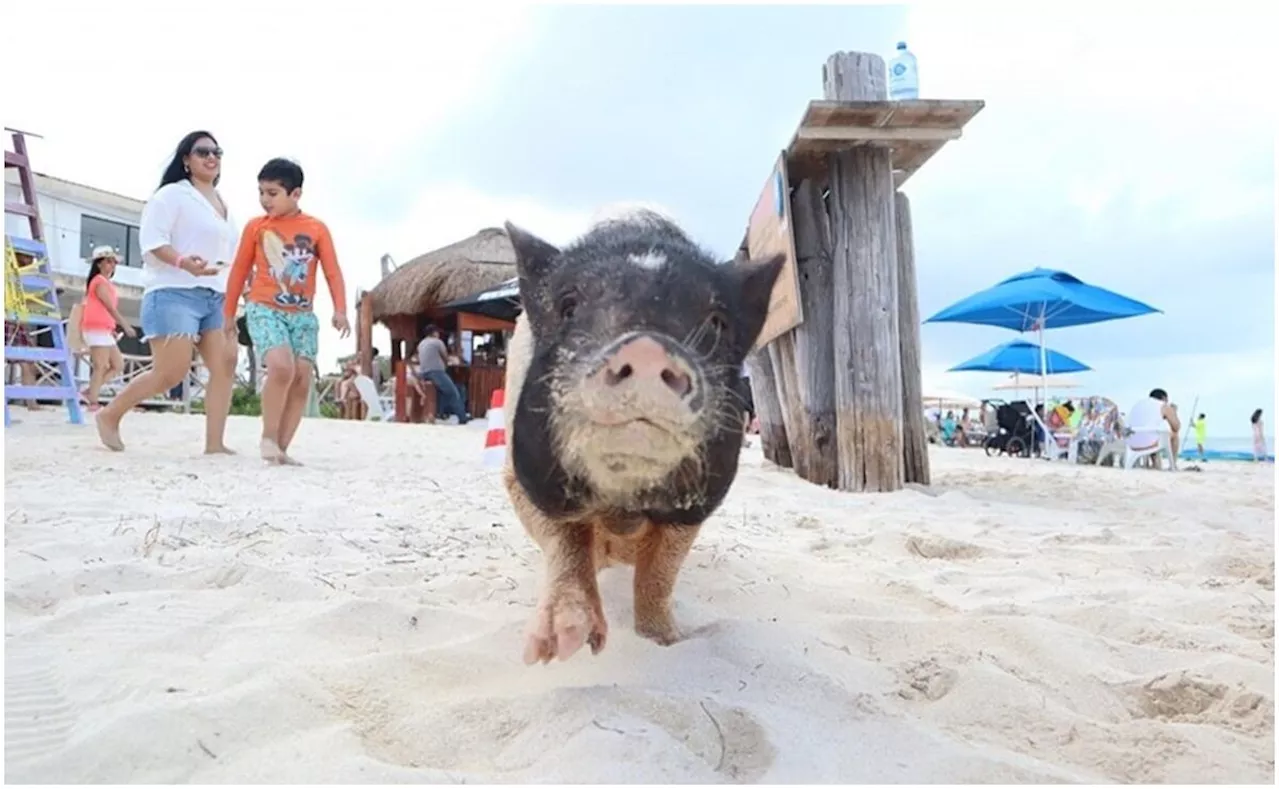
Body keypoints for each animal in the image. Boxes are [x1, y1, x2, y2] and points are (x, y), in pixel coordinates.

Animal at [496, 210, 778, 666]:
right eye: (568, 306)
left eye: (717, 323)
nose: (647, 348)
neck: (622, 505)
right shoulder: (519, 475)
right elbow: (565, 540)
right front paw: (559, 645)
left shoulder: (694, 506)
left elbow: (659, 574)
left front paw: (665, 641)